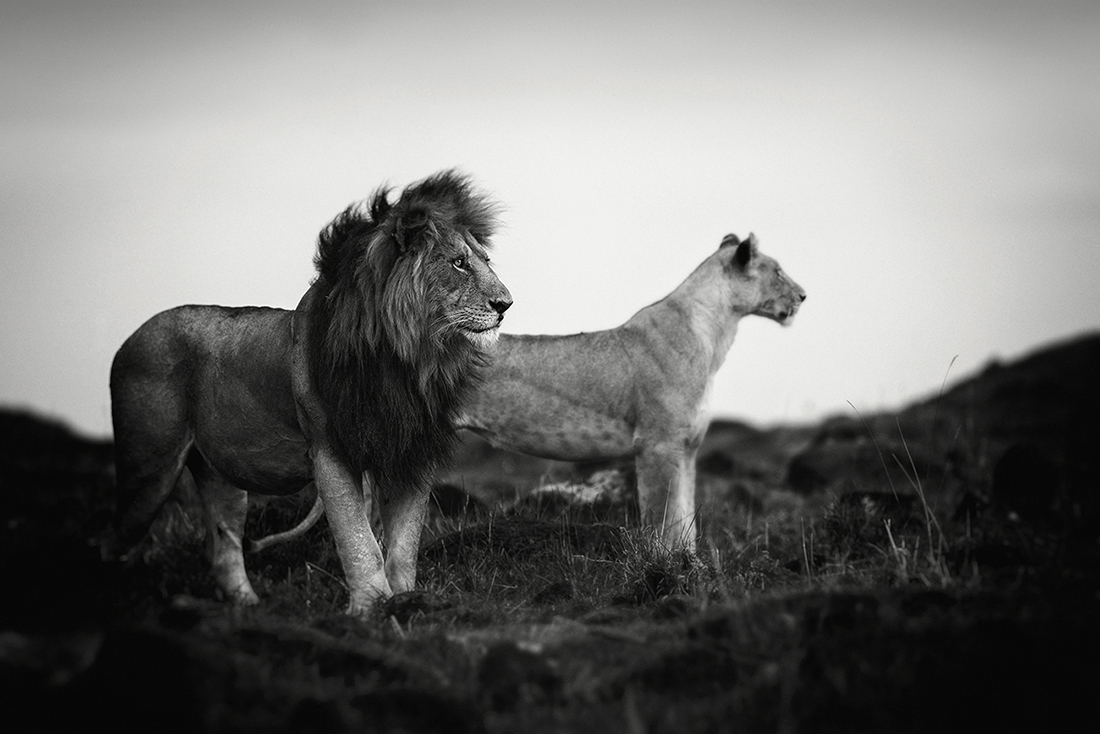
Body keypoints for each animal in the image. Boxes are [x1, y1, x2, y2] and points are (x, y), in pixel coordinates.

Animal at [105, 170, 512, 615]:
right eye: (458, 262)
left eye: (486, 260)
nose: (506, 304)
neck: (409, 359)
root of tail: (128, 340)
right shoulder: (330, 451)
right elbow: (358, 540)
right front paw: (371, 609)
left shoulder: (410, 451)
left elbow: (404, 546)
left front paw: (408, 601)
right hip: (150, 469)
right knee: (113, 542)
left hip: (219, 476)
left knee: (224, 547)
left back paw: (250, 610)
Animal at [254, 232, 804, 552]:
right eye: (776, 270)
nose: (803, 295)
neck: (716, 333)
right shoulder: (658, 446)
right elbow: (664, 518)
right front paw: (668, 569)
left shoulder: (686, 449)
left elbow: (686, 515)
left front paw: (690, 566)